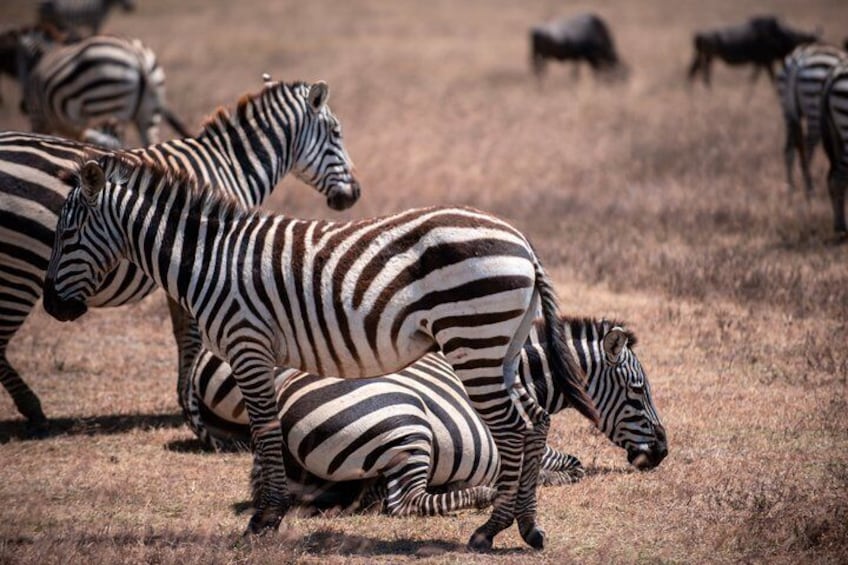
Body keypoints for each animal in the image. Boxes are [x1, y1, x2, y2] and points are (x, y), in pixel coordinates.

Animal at [0, 77, 360, 435]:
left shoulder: (183, 269)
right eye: (336, 132)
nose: (354, 194)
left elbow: (180, 335)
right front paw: (192, 411)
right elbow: (191, 339)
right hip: (20, 267)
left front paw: (186, 402)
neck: (230, 165)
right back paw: (32, 407)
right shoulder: (205, 258)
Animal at [43, 154, 598, 550]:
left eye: (65, 234)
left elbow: (266, 431)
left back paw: (491, 530)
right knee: (536, 421)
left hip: (473, 338)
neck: (208, 260)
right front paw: (272, 509)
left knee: (516, 428)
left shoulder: (248, 343)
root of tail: (521, 240)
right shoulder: (259, 353)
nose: (51, 306)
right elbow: (268, 435)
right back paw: (526, 528)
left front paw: (264, 521)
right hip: (500, 344)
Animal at [183, 315, 664, 516]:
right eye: (638, 391)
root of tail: (282, 410)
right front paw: (544, 478)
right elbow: (572, 465)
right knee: (404, 503)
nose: (662, 451)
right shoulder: (530, 437)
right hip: (407, 426)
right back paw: (481, 493)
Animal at [776, 43, 848, 197]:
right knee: (807, 151)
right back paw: (809, 192)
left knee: (789, 151)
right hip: (814, 108)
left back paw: (791, 194)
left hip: (788, 110)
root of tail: (798, 59)